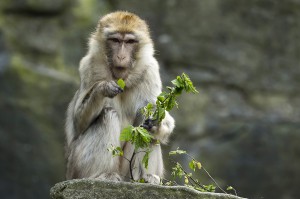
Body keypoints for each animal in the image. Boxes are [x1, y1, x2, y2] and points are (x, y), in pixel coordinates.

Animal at [64, 10, 175, 184]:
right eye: (115, 40)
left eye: (129, 42)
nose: (121, 57)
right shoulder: (89, 66)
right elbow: (78, 123)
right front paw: (103, 88)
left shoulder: (150, 70)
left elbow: (156, 114)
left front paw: (155, 124)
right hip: (76, 167)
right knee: (107, 115)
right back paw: (103, 175)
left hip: (126, 171)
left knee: (143, 127)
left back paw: (144, 178)